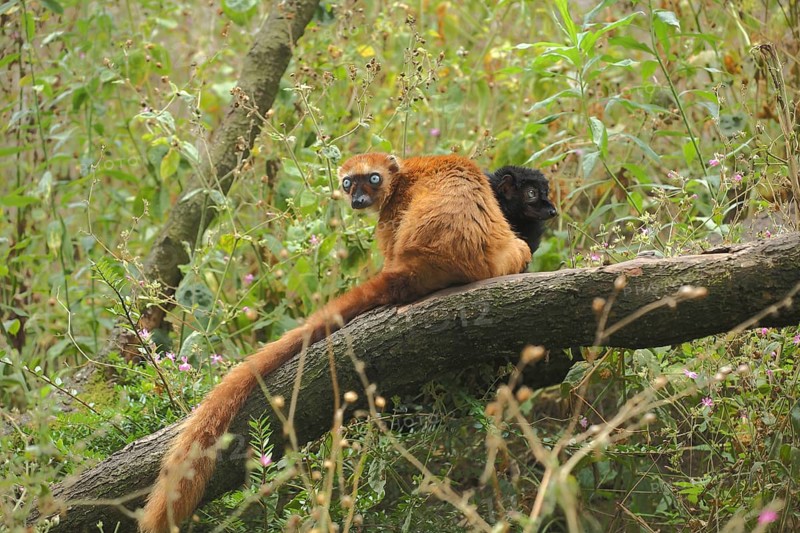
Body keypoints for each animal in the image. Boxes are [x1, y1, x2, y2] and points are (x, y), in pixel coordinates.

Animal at [139, 153, 531, 533]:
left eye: (372, 179)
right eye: (348, 183)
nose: (358, 199)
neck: (402, 175)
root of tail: (418, 267)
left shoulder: (393, 209)